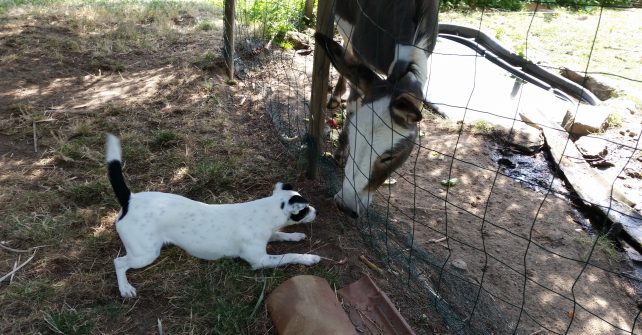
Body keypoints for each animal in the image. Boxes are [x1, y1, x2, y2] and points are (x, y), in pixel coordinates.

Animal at [107, 135, 322, 300]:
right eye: (305, 209)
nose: (316, 211)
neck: (264, 212)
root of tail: (129, 198)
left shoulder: (268, 236)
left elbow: (281, 234)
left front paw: (295, 236)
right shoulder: (260, 260)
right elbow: (289, 255)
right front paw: (309, 258)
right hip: (145, 254)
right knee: (119, 262)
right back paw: (125, 288)